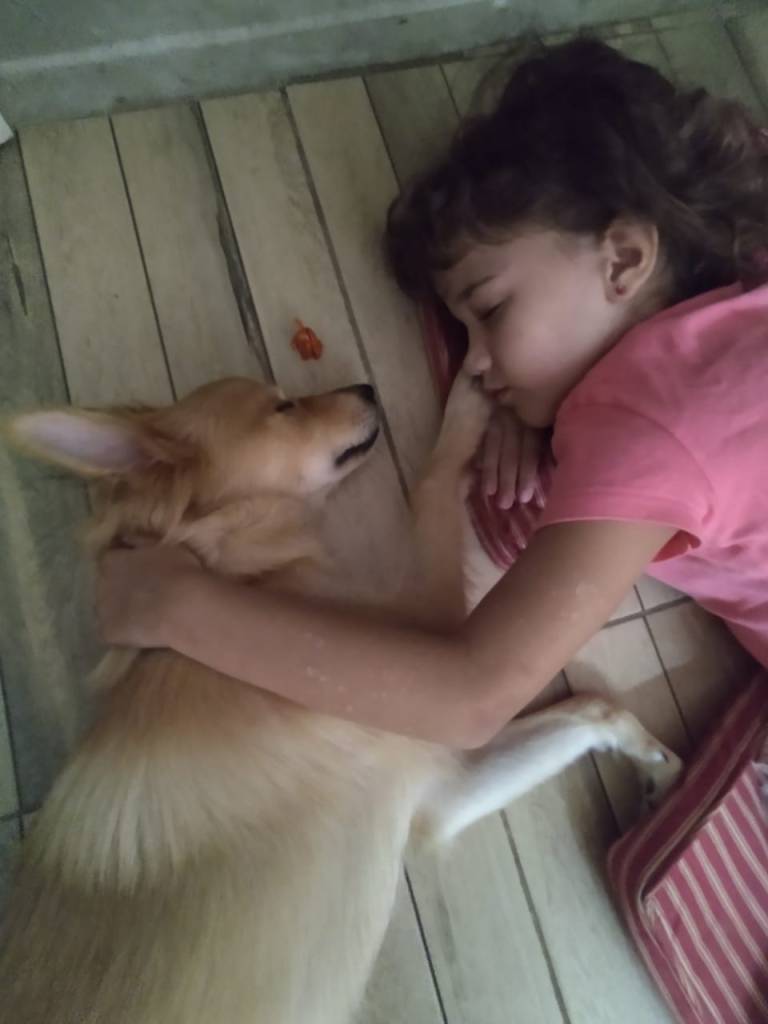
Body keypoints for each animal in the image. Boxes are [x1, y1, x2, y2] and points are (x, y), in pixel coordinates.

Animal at [0, 374, 682, 1023]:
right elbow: (432, 485)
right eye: (281, 408)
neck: (234, 572)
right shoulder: (430, 656)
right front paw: (466, 410)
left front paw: (658, 766)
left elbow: (595, 706)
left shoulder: (436, 790)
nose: (366, 387)